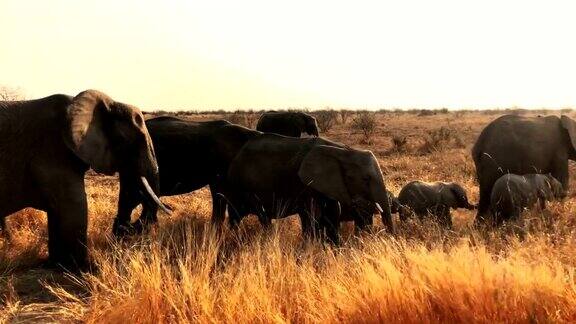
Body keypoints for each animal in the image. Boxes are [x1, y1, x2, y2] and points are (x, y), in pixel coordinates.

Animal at [0, 89, 166, 270]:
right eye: (130, 140)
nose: (125, 226)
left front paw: (56, 265)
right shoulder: (52, 152)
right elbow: (75, 206)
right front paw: (84, 268)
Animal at [223, 134, 394, 243]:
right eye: (366, 179)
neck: (343, 150)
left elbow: (331, 213)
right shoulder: (305, 184)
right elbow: (312, 215)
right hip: (242, 185)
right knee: (254, 216)